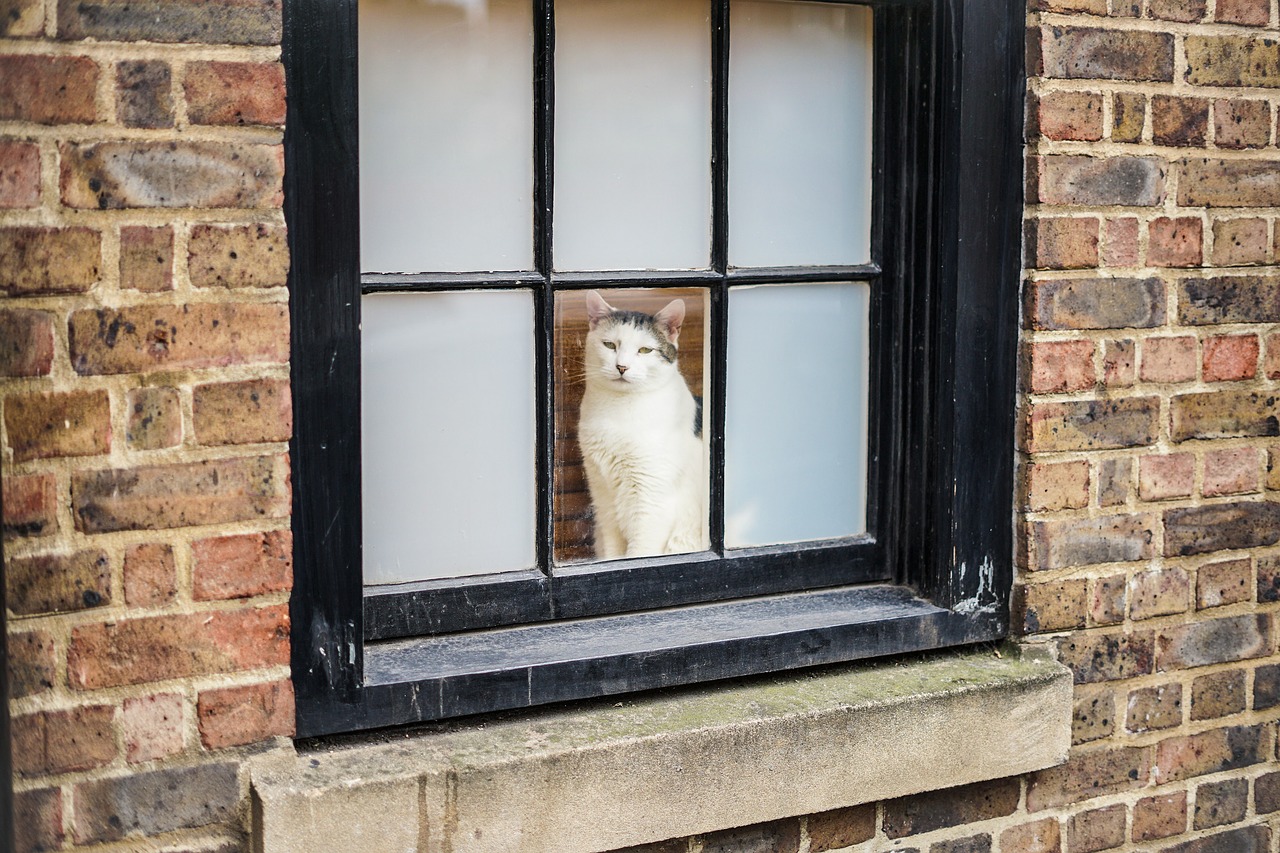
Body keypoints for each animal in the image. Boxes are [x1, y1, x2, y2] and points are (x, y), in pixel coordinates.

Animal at [576, 292, 706, 558]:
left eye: (645, 350)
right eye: (610, 345)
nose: (621, 367)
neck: (618, 410)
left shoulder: (651, 500)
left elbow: (639, 554)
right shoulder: (603, 497)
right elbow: (612, 554)